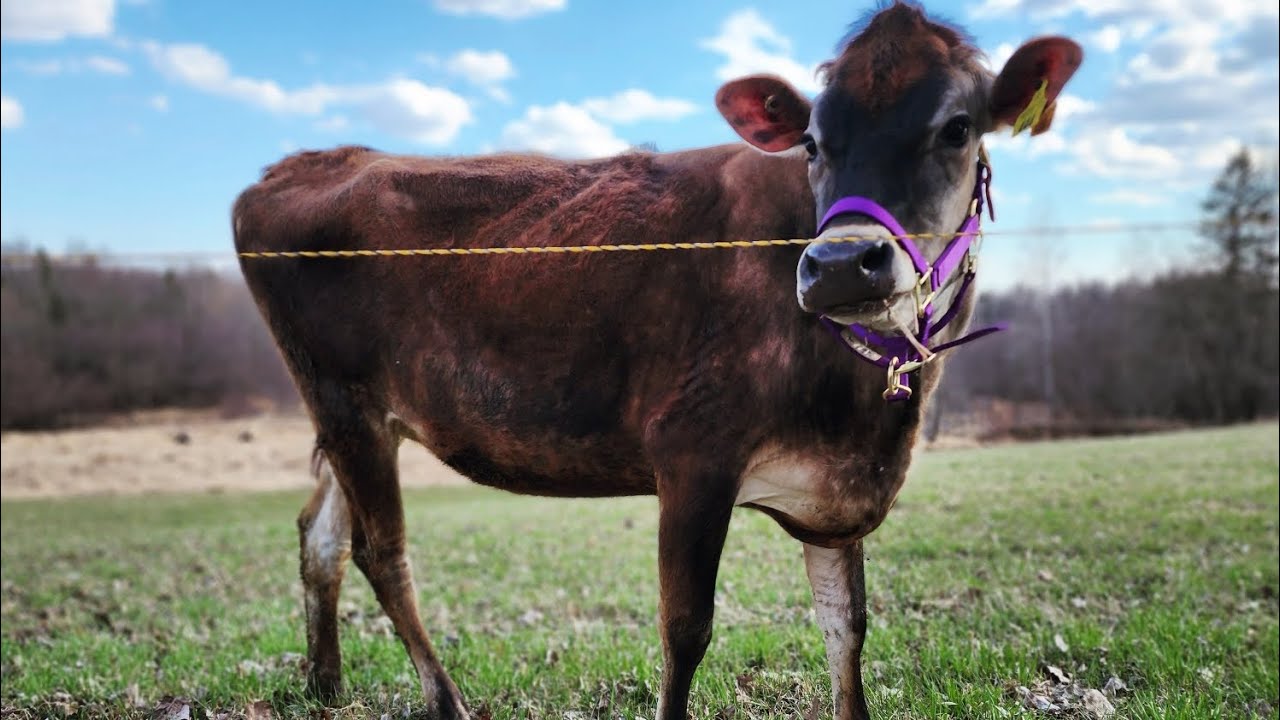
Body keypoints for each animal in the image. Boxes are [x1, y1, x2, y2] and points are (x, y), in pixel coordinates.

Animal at [232, 3, 1081, 718]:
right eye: (812, 141)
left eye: (957, 127)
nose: (842, 266)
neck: (868, 410)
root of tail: (300, 165)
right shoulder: (694, 454)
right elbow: (686, 630)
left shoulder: (837, 490)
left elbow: (848, 628)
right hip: (346, 404)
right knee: (383, 552)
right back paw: (445, 701)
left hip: (365, 418)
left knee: (321, 535)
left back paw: (325, 683)